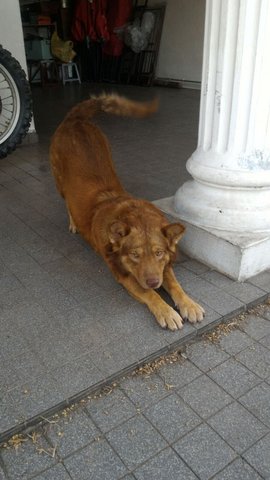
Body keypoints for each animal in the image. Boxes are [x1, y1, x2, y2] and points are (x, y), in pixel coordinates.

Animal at [49, 95, 204, 332]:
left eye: (159, 253)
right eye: (134, 255)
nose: (154, 282)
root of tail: (75, 119)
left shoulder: (163, 267)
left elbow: (175, 284)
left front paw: (189, 304)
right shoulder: (124, 275)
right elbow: (150, 294)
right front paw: (167, 311)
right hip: (59, 181)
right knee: (67, 202)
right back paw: (73, 222)